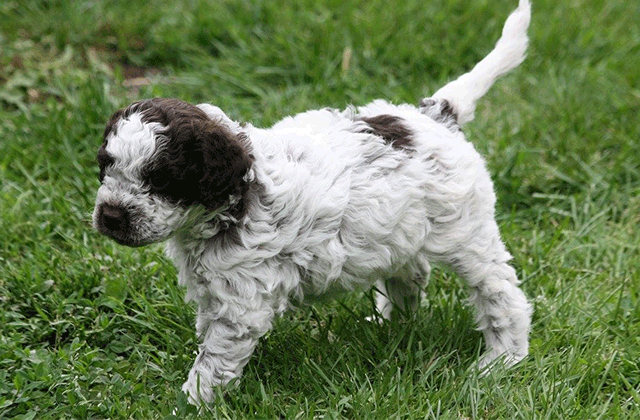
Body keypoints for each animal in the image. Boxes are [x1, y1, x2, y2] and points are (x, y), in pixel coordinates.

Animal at [94, 0, 528, 406]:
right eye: (105, 166)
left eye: (160, 179)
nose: (110, 216)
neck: (234, 202)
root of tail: (437, 116)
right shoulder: (213, 290)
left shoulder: (240, 302)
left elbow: (214, 358)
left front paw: (193, 400)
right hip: (401, 230)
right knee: (411, 273)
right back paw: (391, 325)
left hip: (466, 231)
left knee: (501, 291)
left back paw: (503, 359)